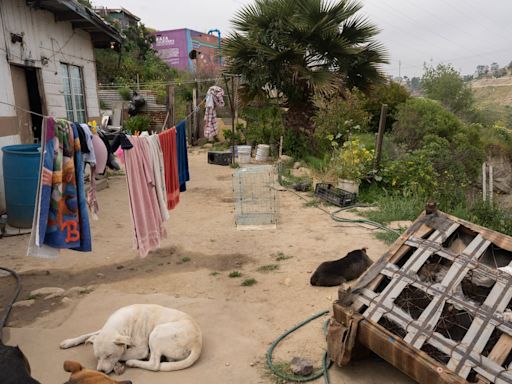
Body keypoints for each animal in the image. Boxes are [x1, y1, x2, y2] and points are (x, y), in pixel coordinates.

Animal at [59, 304, 202, 374]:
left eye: (109, 355)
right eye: (97, 357)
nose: (101, 372)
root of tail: (198, 344)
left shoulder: (140, 349)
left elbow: (122, 354)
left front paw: (117, 365)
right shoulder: (102, 330)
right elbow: (87, 334)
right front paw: (69, 342)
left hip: (156, 333)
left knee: (154, 364)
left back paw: (133, 362)